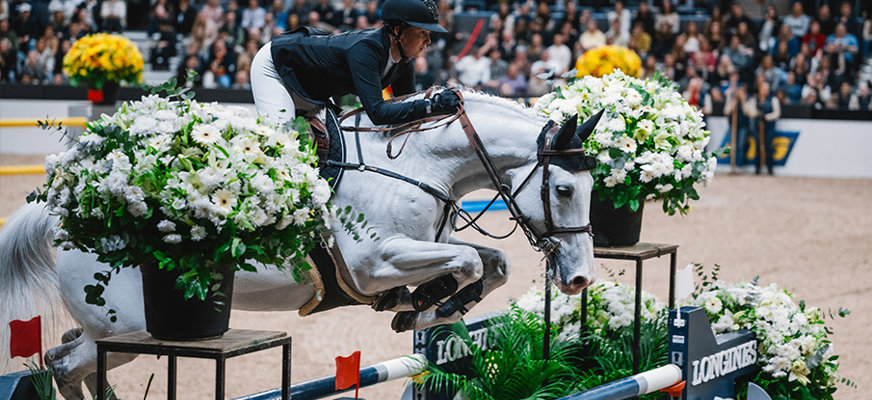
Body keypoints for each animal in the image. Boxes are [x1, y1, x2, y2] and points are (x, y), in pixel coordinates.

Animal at [0, 90, 600, 396]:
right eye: (564, 189)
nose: (578, 279)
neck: (423, 164)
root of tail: (67, 207)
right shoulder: (372, 264)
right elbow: (472, 259)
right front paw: (426, 306)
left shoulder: (424, 246)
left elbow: (492, 263)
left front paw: (427, 307)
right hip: (127, 327)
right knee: (65, 363)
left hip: (111, 330)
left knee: (64, 356)